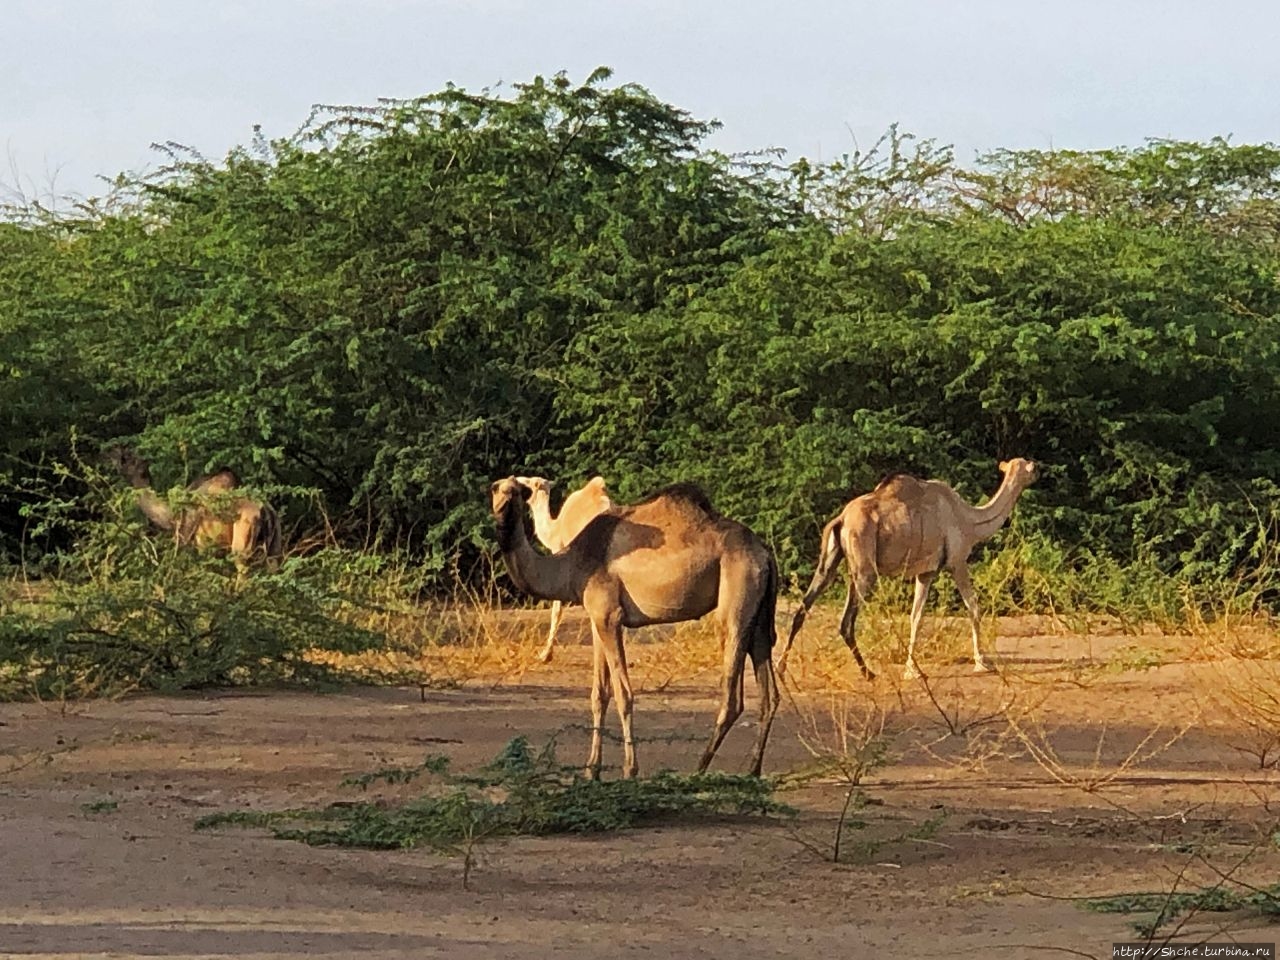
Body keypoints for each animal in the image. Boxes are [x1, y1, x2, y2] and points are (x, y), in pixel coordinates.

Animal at [106, 448, 284, 568]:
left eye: (128, 458)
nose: (111, 452)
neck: (171, 516)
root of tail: (266, 512)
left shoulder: (198, 545)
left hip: (242, 545)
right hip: (275, 548)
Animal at [778, 460, 1039, 680]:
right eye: (1030, 466)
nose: (1038, 471)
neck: (970, 521)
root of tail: (841, 519)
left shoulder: (926, 573)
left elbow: (916, 616)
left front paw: (912, 669)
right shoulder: (957, 562)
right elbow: (973, 608)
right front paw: (982, 663)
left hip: (831, 560)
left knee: (804, 606)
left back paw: (782, 668)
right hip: (865, 568)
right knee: (846, 622)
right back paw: (868, 673)